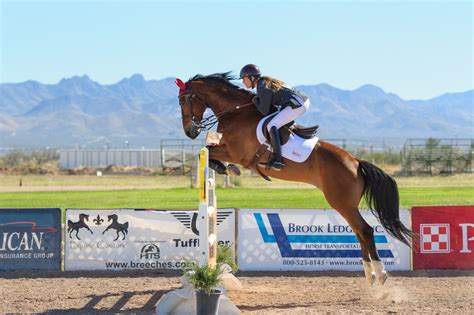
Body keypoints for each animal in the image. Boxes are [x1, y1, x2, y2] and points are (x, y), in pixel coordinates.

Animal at [176, 73, 412, 286]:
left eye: (182, 101)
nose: (189, 132)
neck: (236, 113)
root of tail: (356, 162)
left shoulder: (235, 152)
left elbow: (207, 150)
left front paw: (226, 168)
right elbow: (208, 150)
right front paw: (225, 168)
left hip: (342, 203)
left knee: (365, 231)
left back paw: (380, 275)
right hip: (346, 205)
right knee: (359, 233)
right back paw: (369, 276)